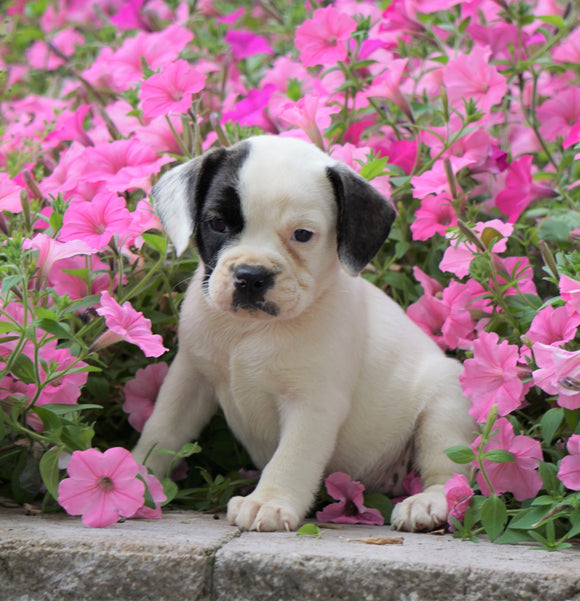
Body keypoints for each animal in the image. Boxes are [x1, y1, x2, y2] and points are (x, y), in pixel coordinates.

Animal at [134, 135, 474, 528]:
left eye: (302, 235)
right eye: (217, 223)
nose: (251, 275)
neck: (249, 328)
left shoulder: (312, 403)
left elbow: (292, 456)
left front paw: (268, 500)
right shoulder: (188, 380)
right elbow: (162, 430)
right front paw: (136, 475)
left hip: (443, 407)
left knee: (450, 472)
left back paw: (427, 503)